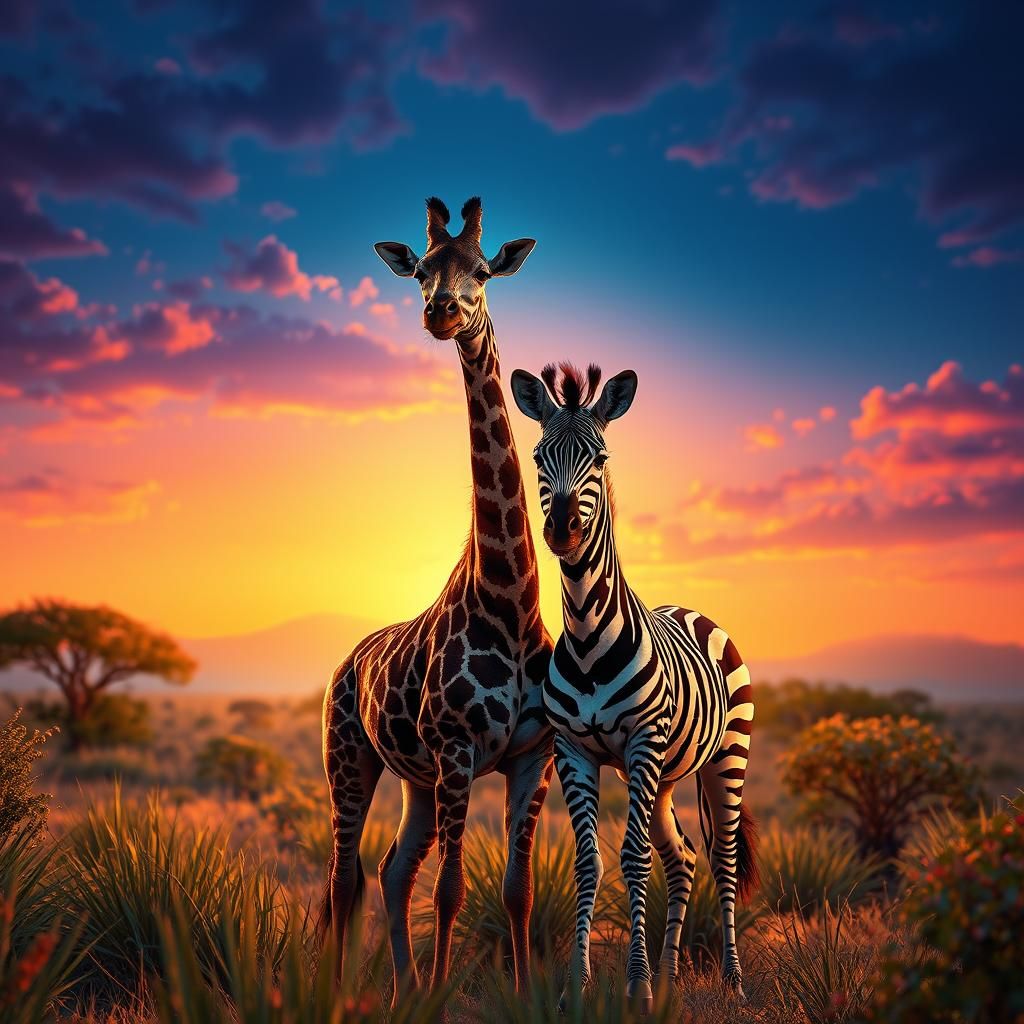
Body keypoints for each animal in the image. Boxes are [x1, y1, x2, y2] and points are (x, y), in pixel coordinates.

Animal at [320, 197, 554, 1004]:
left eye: (482, 270)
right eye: (422, 269)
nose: (442, 312)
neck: (509, 602)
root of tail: (348, 661)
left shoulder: (530, 757)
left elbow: (516, 890)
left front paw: (519, 997)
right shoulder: (457, 750)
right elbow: (453, 890)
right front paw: (445, 998)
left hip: (415, 780)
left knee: (394, 871)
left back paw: (401, 989)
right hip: (349, 758)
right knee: (346, 877)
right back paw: (343, 992)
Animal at [510, 362, 758, 1010]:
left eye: (599, 458)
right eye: (540, 456)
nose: (563, 528)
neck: (587, 634)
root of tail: (692, 610)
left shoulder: (642, 743)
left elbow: (633, 858)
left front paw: (637, 985)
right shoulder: (572, 750)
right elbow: (590, 863)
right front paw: (578, 986)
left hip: (727, 757)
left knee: (721, 859)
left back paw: (732, 981)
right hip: (668, 776)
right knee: (685, 859)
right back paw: (673, 979)